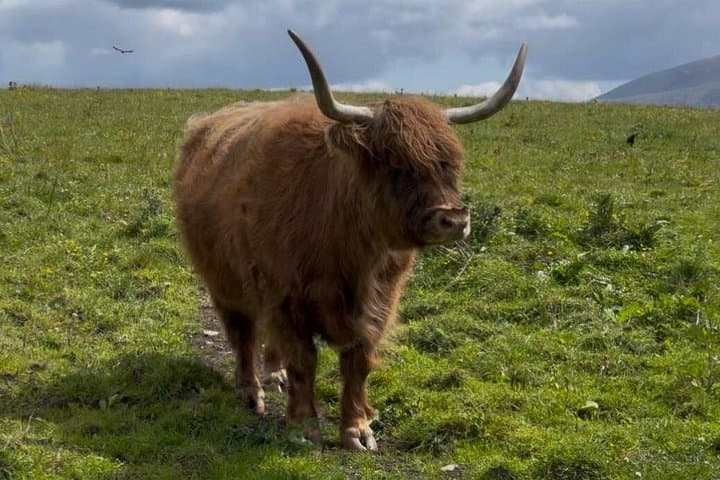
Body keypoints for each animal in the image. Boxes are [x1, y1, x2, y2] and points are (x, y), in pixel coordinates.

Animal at [173, 30, 526, 451]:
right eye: (396, 164)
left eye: (451, 164)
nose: (454, 218)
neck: (350, 251)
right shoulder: (282, 297)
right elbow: (303, 359)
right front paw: (304, 426)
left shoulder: (380, 303)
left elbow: (358, 363)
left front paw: (357, 430)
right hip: (223, 282)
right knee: (242, 335)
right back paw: (250, 391)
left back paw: (274, 377)